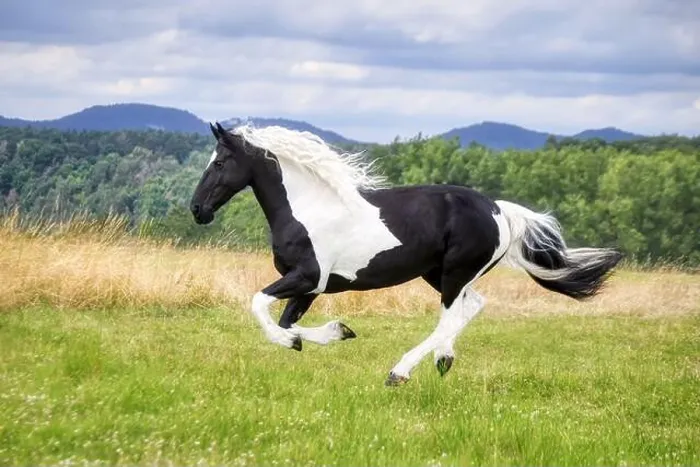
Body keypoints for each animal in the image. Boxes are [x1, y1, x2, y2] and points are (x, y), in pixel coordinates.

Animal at [189, 122, 623, 386]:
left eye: (221, 161)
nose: (197, 210)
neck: (309, 208)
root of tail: (499, 210)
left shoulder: (308, 277)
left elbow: (259, 304)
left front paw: (299, 340)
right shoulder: (311, 288)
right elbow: (286, 320)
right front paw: (334, 332)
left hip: (453, 274)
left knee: (450, 318)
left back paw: (400, 372)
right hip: (440, 273)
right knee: (472, 307)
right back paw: (443, 361)